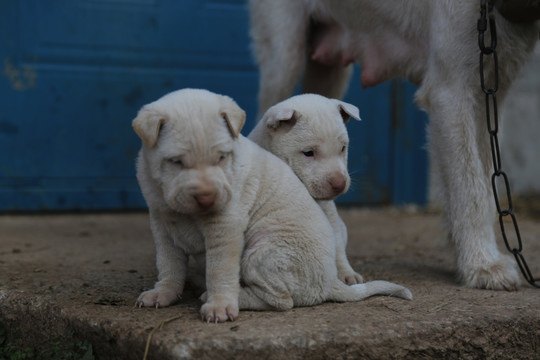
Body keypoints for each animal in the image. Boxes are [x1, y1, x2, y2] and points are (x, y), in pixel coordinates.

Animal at [249, 94, 362, 286]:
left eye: (343, 148)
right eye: (308, 153)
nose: (340, 184)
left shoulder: (329, 213)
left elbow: (337, 244)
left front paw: (347, 273)